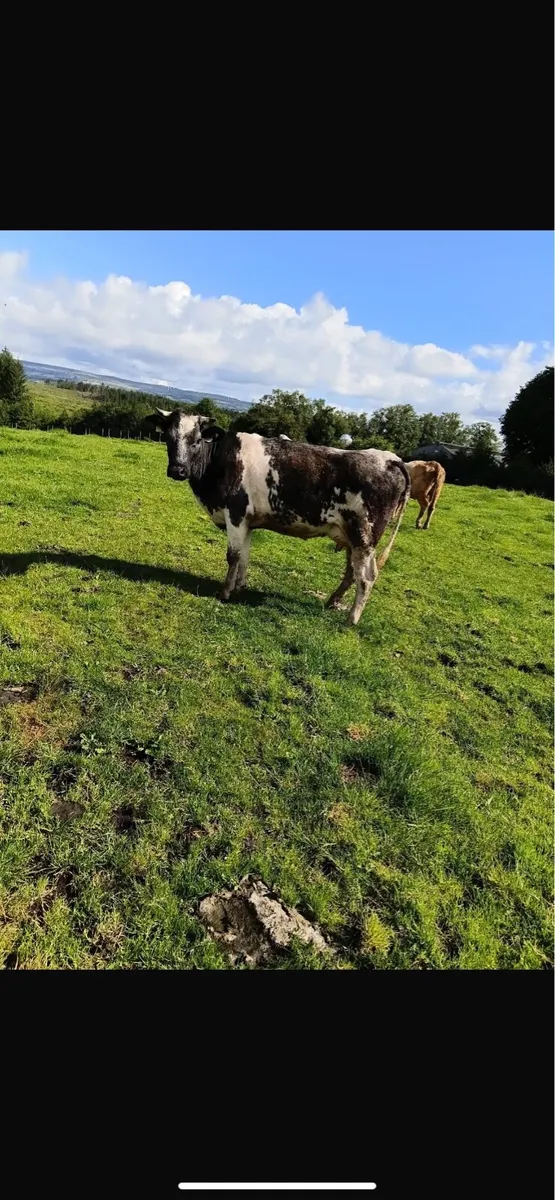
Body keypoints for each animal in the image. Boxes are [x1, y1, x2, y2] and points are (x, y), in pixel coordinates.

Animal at [148, 410, 411, 626]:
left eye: (196, 440)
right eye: (169, 438)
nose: (177, 470)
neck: (219, 460)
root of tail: (389, 458)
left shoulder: (235, 514)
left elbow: (233, 556)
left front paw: (225, 593)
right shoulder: (247, 521)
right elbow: (244, 556)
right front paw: (240, 587)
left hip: (364, 536)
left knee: (366, 577)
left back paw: (351, 619)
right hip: (351, 537)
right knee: (351, 572)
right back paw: (332, 602)